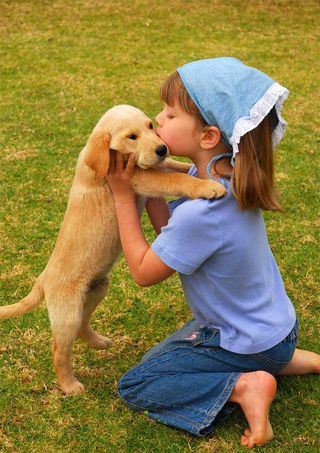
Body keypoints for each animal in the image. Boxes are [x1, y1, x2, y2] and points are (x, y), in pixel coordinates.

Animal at [0, 104, 226, 394]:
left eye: (150, 126)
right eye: (132, 136)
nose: (162, 148)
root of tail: (43, 279)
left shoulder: (146, 168)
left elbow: (172, 167)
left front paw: (191, 167)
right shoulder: (138, 178)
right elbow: (173, 178)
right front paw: (207, 186)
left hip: (97, 288)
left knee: (83, 325)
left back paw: (99, 342)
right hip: (67, 311)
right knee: (60, 348)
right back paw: (69, 385)